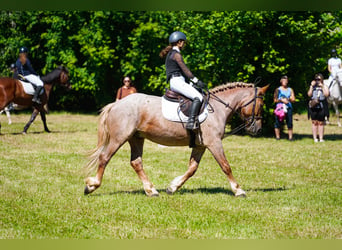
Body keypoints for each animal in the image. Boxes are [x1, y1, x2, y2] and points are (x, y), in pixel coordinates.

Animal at [83, 83, 270, 198]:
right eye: (261, 105)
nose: (257, 130)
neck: (217, 109)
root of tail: (116, 104)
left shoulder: (201, 145)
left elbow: (192, 168)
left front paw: (173, 187)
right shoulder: (214, 143)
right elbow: (225, 166)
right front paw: (238, 190)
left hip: (136, 138)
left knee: (136, 162)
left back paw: (151, 190)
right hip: (119, 138)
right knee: (104, 158)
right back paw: (92, 186)